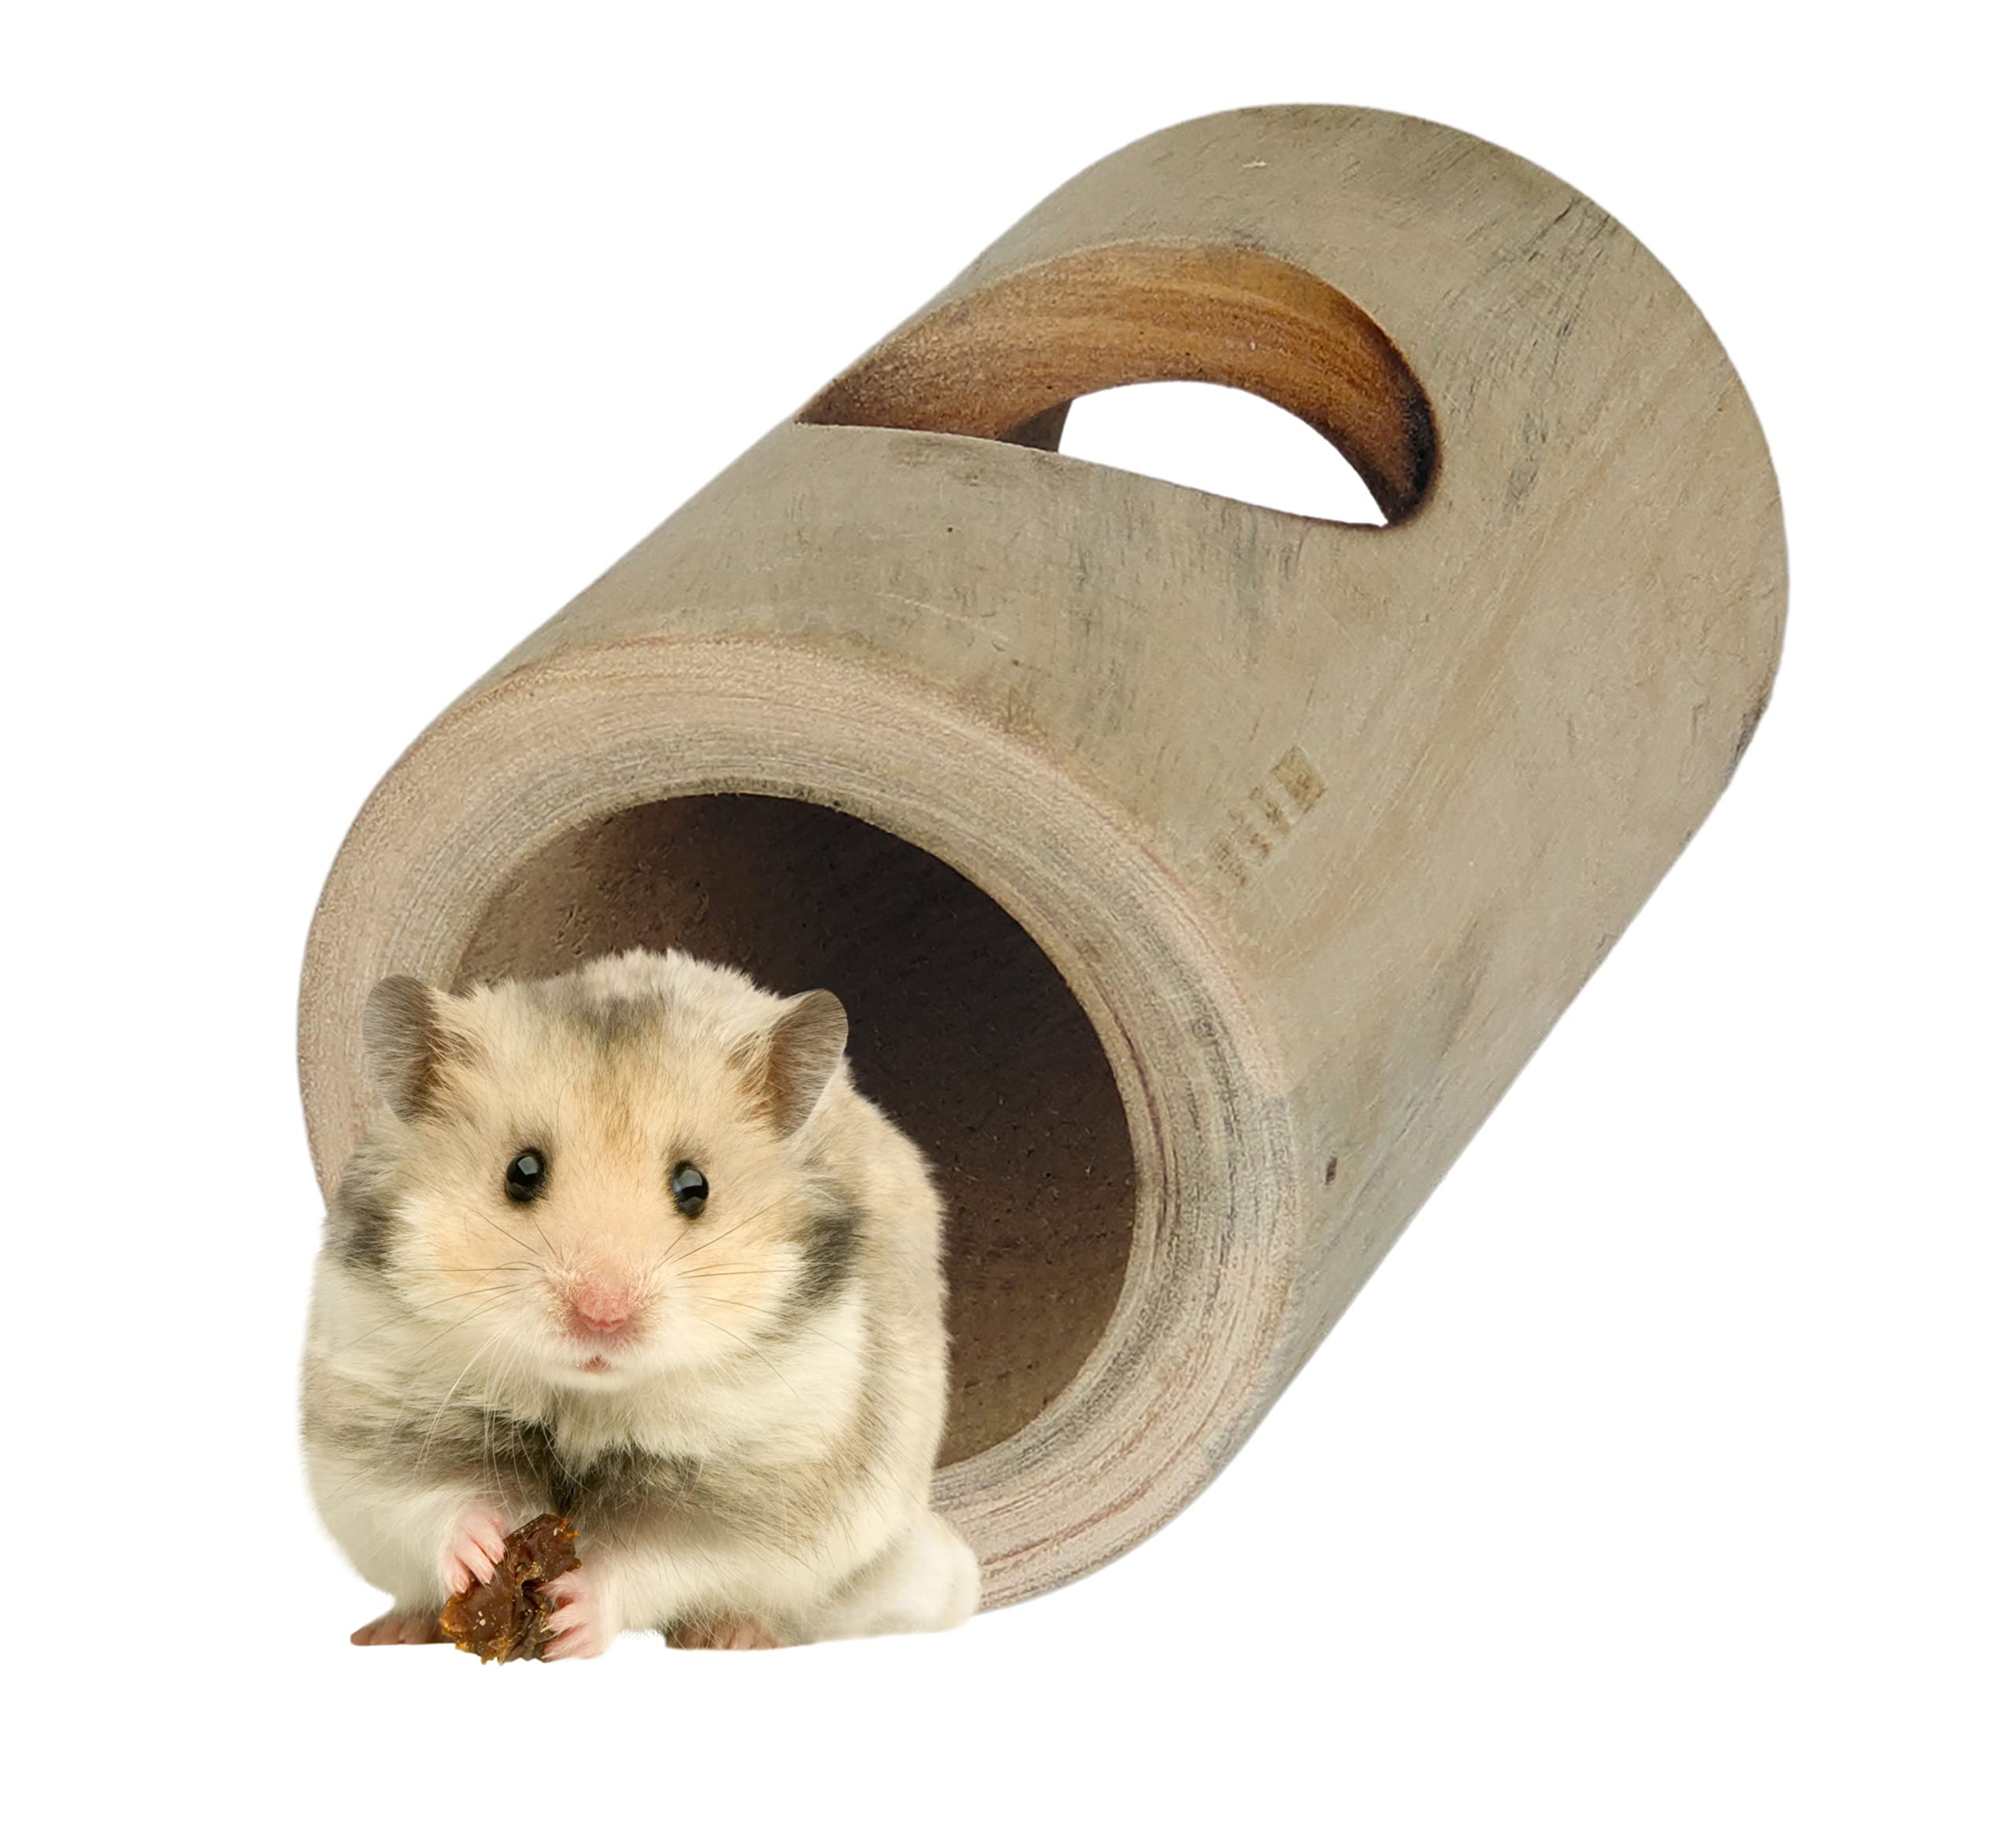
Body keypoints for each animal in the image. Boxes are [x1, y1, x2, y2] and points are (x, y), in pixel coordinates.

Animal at [298, 944, 980, 1653]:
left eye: (694, 1185)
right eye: (521, 1171)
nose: (602, 1316)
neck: (589, 1397)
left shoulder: (750, 1483)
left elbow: (651, 1557)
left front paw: (572, 1614)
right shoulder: (384, 1419)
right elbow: (437, 1501)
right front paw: (484, 1558)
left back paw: (736, 1635)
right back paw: (386, 1632)